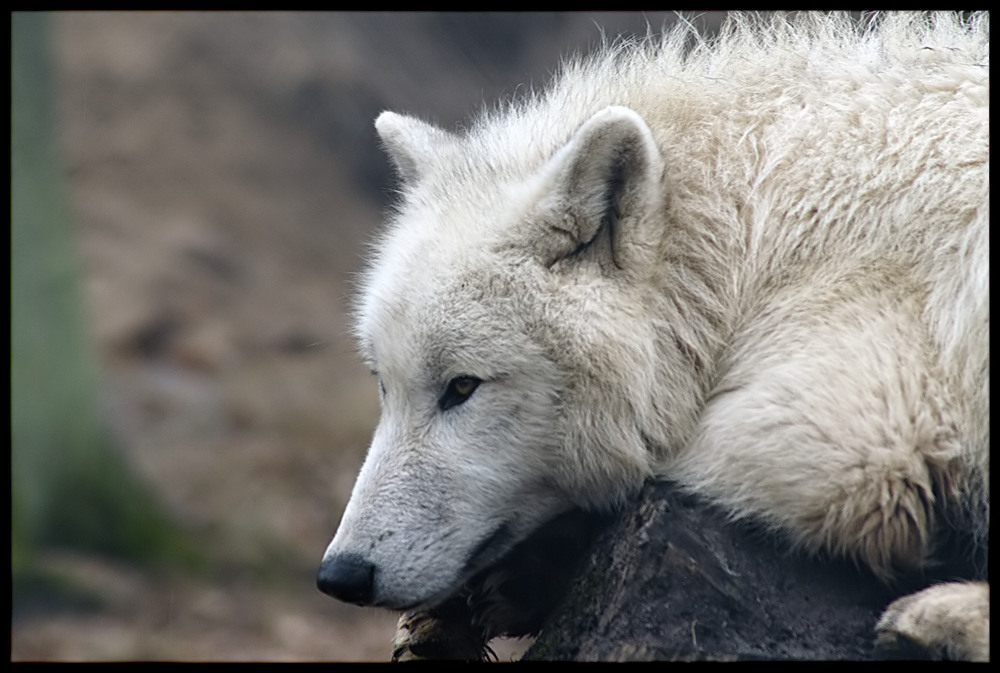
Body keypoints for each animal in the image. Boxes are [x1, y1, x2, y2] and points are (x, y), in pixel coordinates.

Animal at [316, 11, 988, 660]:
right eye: (383, 384)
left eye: (462, 386)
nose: (342, 575)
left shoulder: (860, 421)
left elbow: (655, 466)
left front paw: (526, 578)